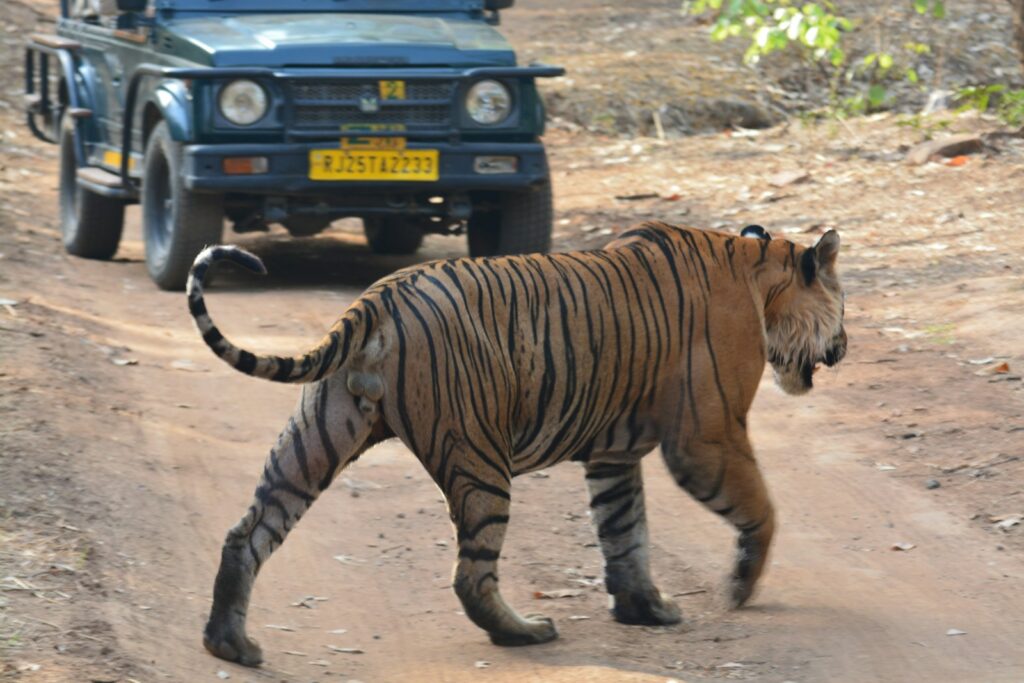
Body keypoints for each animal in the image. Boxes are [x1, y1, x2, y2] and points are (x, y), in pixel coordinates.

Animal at [192, 222, 847, 663]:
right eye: (843, 305)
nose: (843, 348)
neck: (758, 272)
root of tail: (378, 297)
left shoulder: (612, 454)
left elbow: (625, 530)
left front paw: (645, 609)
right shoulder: (707, 435)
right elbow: (761, 509)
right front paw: (739, 586)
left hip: (318, 435)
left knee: (247, 533)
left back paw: (229, 644)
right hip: (480, 456)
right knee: (471, 573)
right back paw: (525, 632)